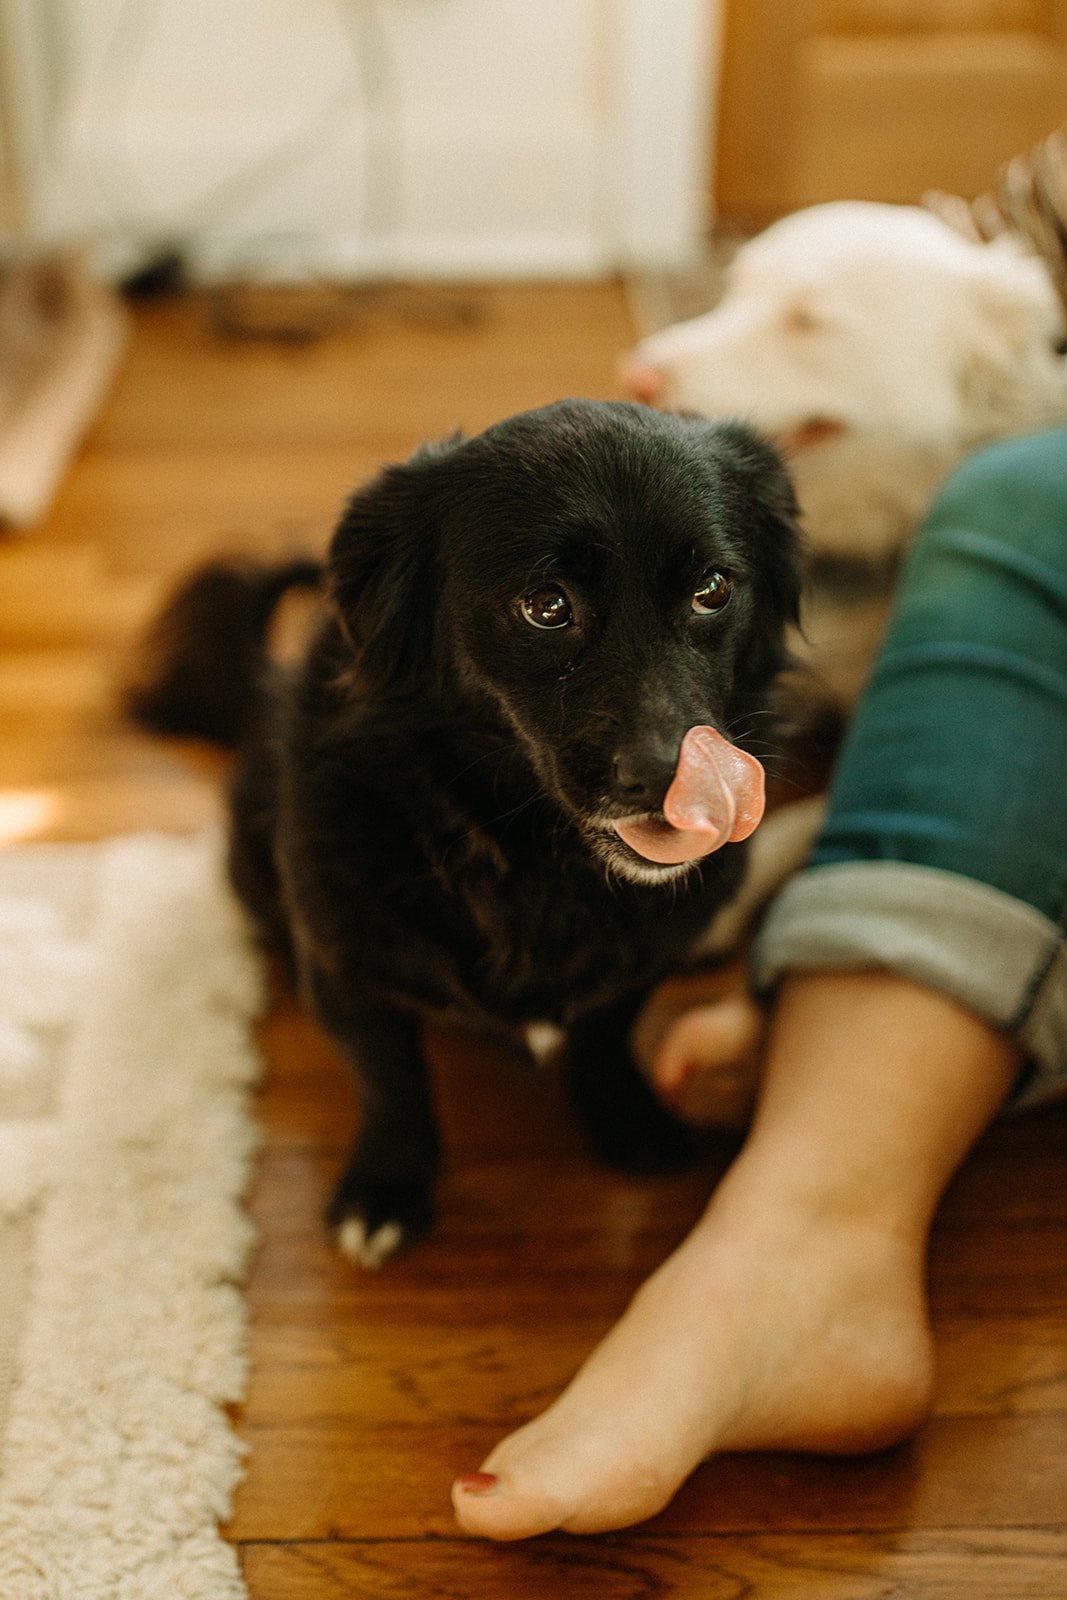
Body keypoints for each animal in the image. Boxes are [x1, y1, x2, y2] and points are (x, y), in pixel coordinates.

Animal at [131, 400, 799, 1260]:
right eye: (546, 606)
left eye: (712, 589)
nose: (669, 782)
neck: (535, 863)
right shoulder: (351, 973)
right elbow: (391, 1082)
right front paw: (387, 1186)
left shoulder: (648, 954)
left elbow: (605, 1030)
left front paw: (624, 1115)